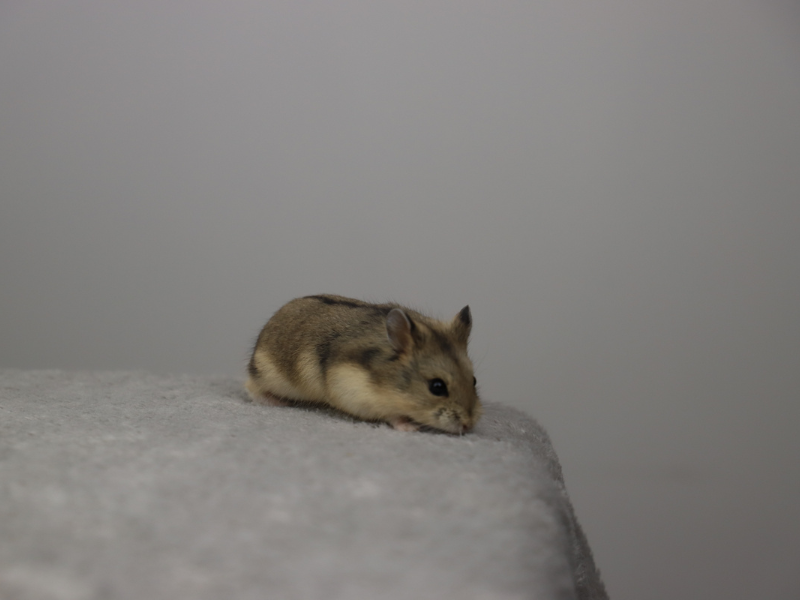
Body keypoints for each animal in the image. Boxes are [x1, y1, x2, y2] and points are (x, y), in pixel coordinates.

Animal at [246, 294, 482, 434]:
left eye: (474, 380)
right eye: (437, 387)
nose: (469, 425)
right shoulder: (355, 394)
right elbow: (391, 414)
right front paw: (411, 427)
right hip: (266, 374)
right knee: (250, 386)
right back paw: (277, 402)